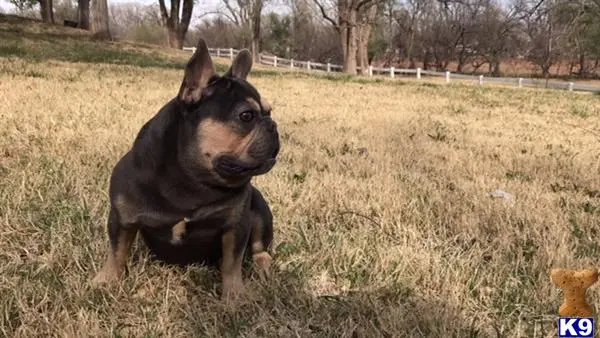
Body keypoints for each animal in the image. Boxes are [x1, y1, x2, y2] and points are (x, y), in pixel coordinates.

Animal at [92, 38, 280, 300]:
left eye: (269, 111)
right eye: (246, 116)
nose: (273, 124)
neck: (192, 179)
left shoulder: (236, 225)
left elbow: (232, 263)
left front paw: (234, 295)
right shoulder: (123, 218)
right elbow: (117, 251)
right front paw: (107, 281)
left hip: (261, 211)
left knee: (260, 247)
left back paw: (263, 266)